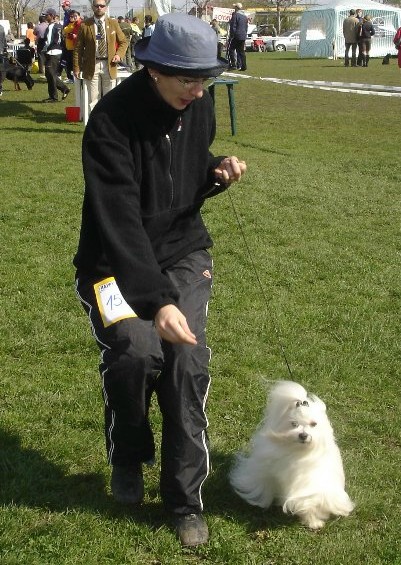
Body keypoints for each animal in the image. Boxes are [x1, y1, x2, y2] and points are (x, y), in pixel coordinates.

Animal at [229, 380, 354, 529]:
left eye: (314, 424)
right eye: (294, 424)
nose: (303, 435)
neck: (296, 451)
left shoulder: (310, 486)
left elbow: (308, 502)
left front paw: (313, 522)